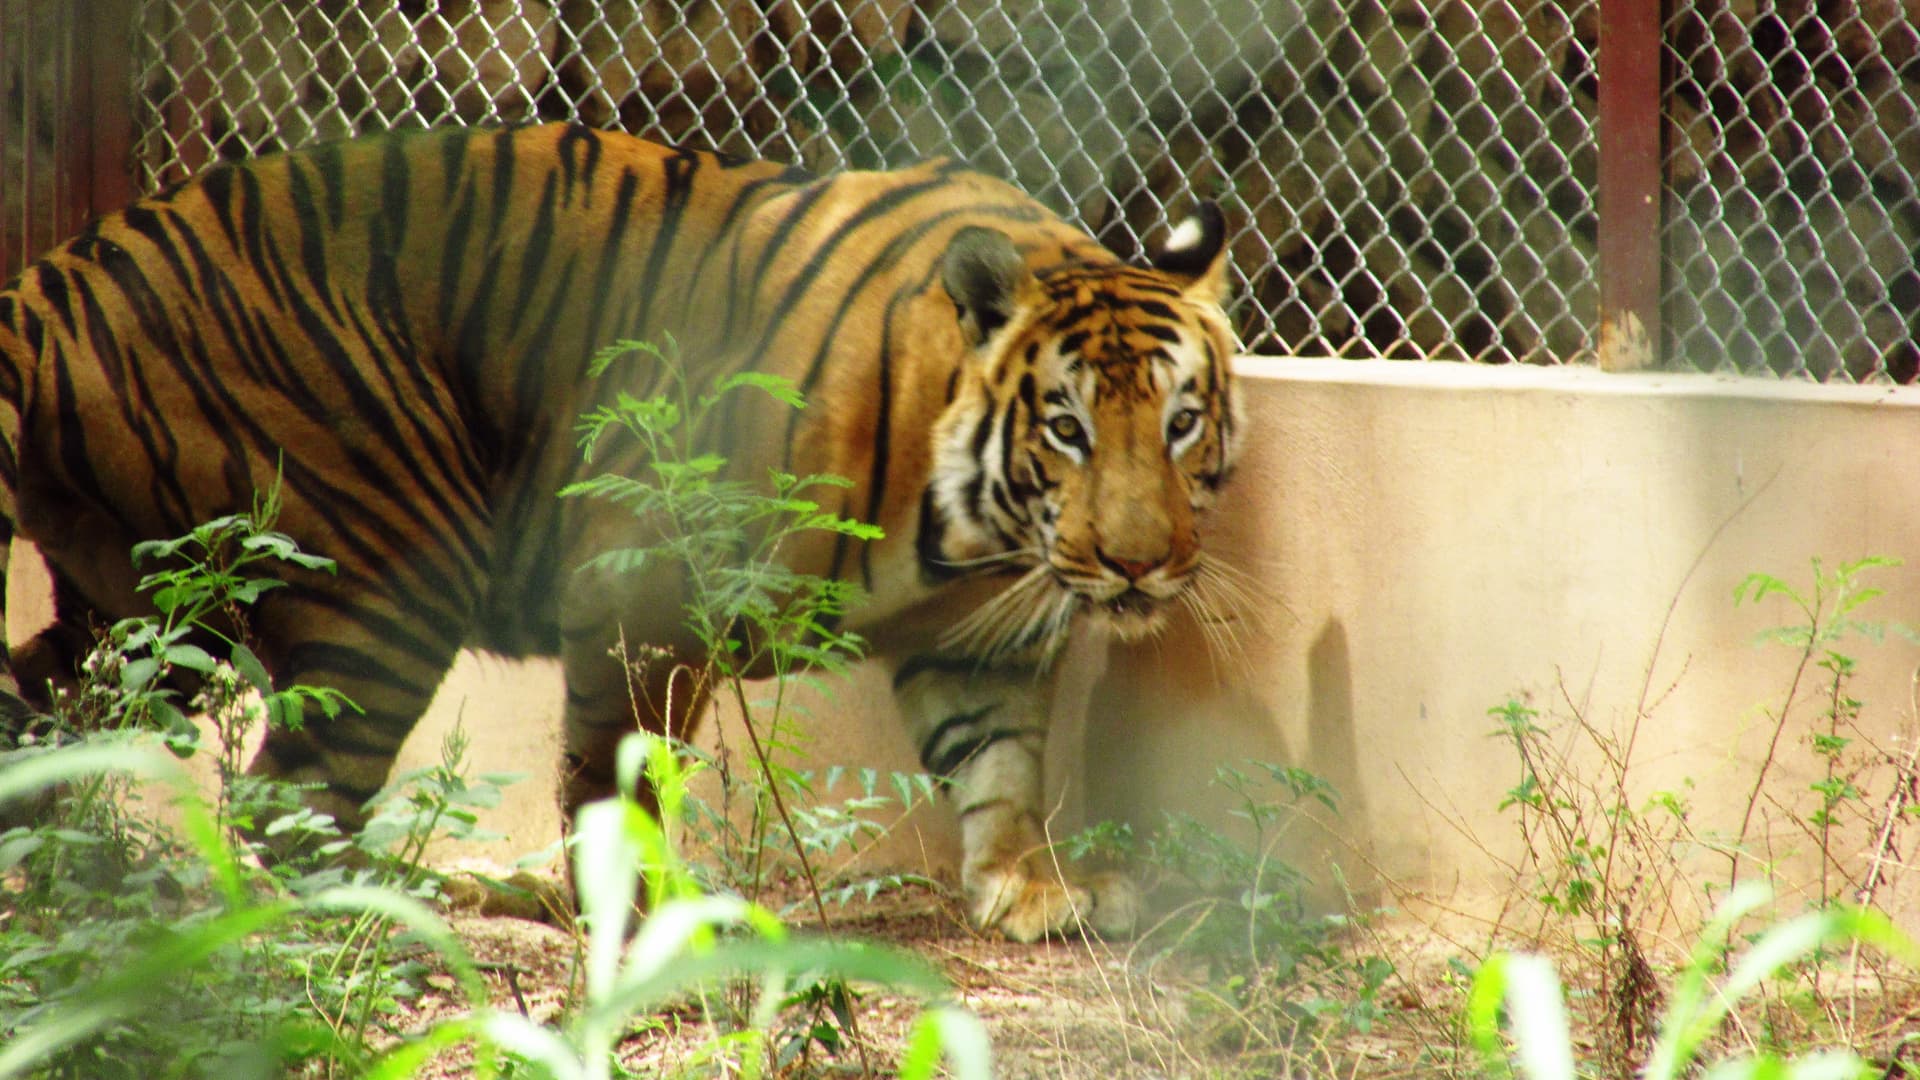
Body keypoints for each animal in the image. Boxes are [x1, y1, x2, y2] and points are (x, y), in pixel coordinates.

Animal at [0, 122, 1241, 941]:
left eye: (1181, 421)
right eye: (1070, 428)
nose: (1142, 564)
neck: (972, 532)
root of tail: (56, 280)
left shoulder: (979, 638)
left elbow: (1000, 766)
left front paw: (1032, 891)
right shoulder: (637, 592)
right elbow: (617, 783)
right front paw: (640, 923)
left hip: (149, 611)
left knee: (49, 716)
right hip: (385, 573)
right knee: (288, 804)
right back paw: (395, 907)